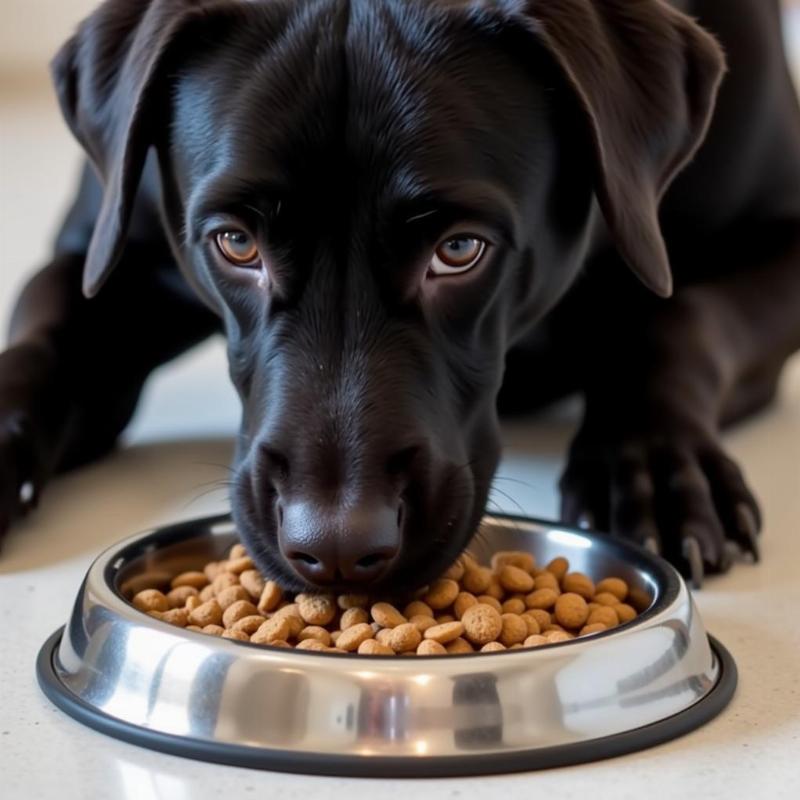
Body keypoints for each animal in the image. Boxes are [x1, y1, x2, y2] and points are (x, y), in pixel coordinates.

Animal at [1, 0, 800, 588]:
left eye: (459, 250)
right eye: (236, 244)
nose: (338, 546)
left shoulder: (779, 245)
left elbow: (681, 318)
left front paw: (653, 465)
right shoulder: (105, 254)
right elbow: (46, 339)